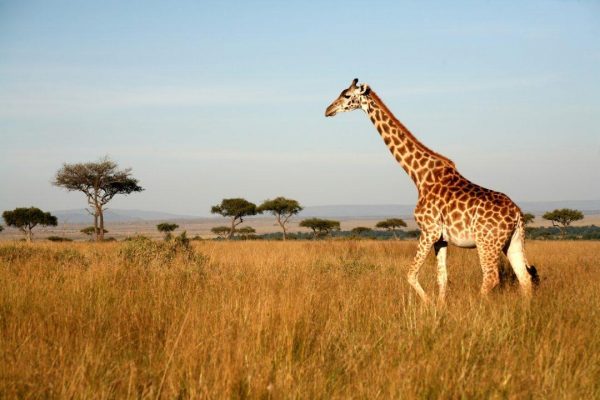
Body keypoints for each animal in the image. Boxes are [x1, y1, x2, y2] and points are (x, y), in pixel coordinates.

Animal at [326, 78, 540, 304]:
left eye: (347, 95)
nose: (328, 110)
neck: (419, 176)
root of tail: (517, 215)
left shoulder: (428, 231)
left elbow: (411, 274)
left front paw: (428, 304)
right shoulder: (441, 239)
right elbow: (442, 278)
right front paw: (440, 306)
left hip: (487, 243)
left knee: (491, 277)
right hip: (513, 241)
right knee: (524, 278)